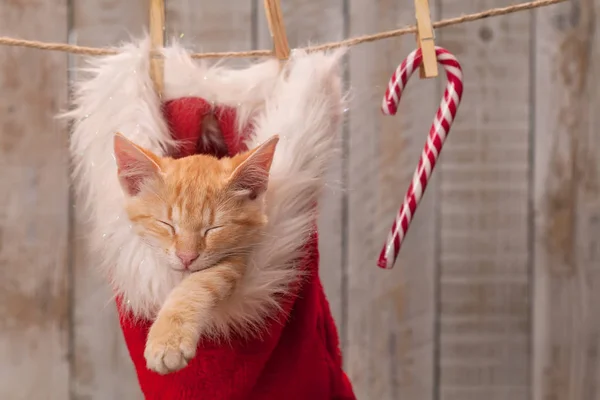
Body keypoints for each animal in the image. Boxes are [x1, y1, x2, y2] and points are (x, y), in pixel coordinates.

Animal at [113, 133, 280, 374]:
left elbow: (198, 284)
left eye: (213, 229)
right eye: (167, 225)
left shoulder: (239, 254)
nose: (187, 257)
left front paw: (169, 340)